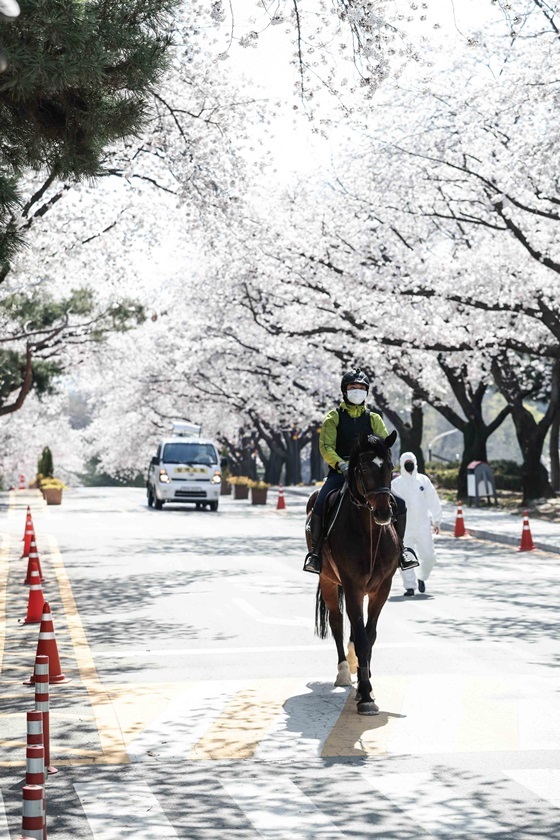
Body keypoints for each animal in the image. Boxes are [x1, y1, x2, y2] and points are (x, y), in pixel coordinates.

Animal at [308, 434, 400, 716]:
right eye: (364, 469)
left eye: (390, 467)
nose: (383, 513)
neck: (369, 531)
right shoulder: (352, 587)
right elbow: (359, 636)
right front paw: (365, 694)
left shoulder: (382, 588)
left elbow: (369, 636)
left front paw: (365, 681)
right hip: (328, 581)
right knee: (338, 623)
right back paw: (342, 672)